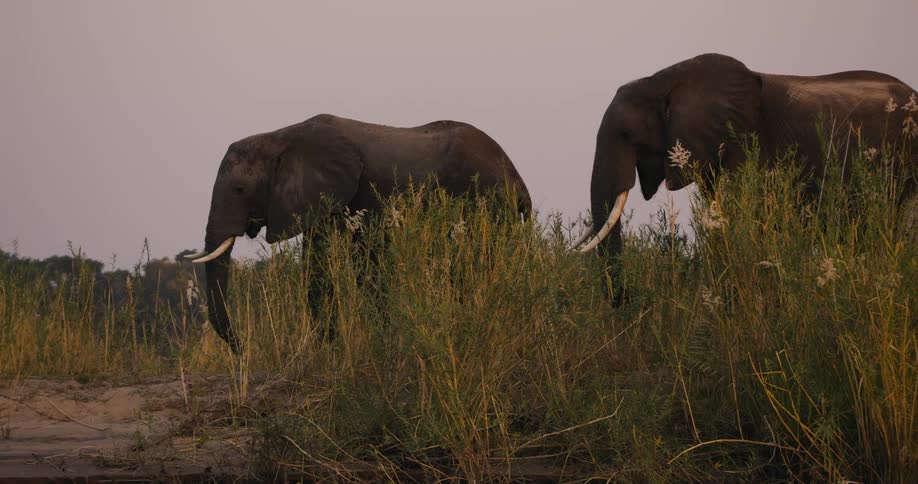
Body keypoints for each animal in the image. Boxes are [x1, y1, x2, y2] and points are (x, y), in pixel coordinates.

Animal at [186, 114, 531, 351]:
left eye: (240, 189)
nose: (242, 349)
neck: (281, 137)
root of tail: (516, 177)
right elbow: (318, 264)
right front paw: (327, 349)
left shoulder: (362, 194)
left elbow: (366, 259)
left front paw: (378, 339)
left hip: (487, 200)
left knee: (472, 260)